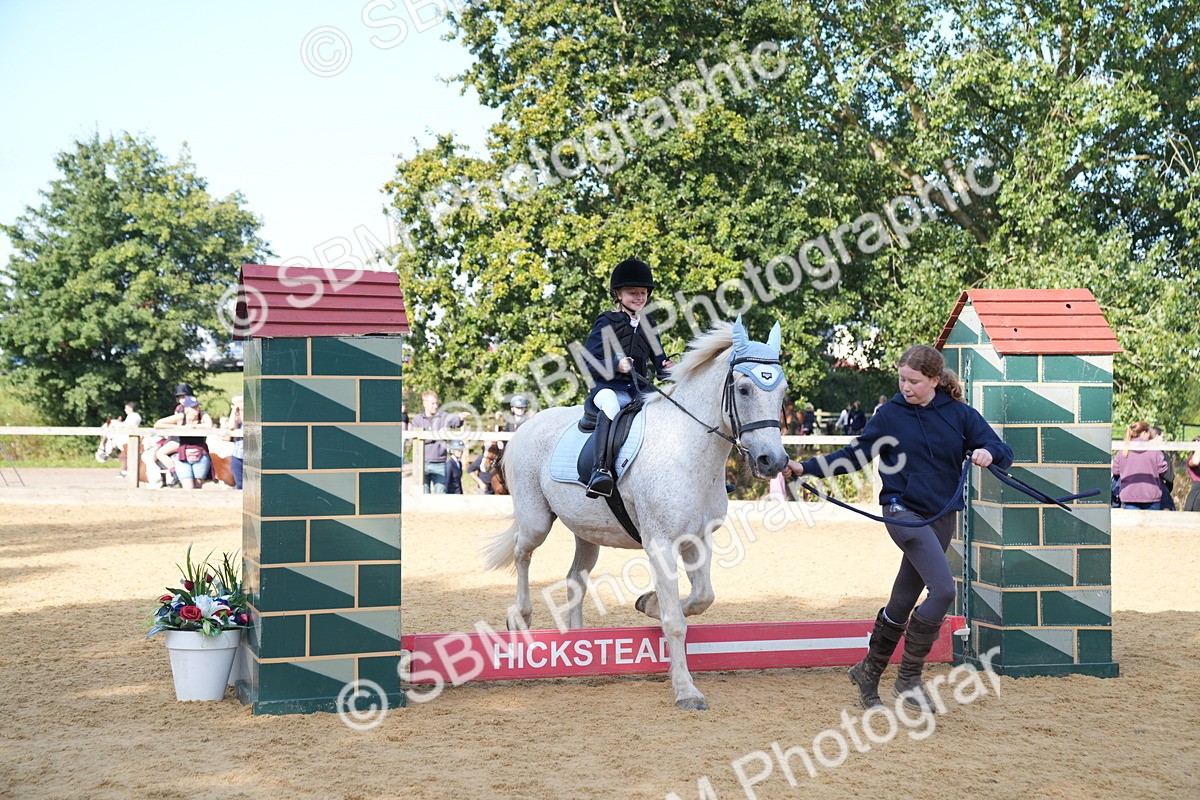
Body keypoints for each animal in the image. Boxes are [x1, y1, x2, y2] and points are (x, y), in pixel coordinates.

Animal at [484, 318, 789, 710]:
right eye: (745, 389)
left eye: (781, 391)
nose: (773, 461)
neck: (686, 447)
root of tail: (528, 425)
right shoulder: (660, 543)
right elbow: (676, 621)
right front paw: (686, 691)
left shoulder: (698, 539)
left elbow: (702, 597)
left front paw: (648, 603)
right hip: (536, 520)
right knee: (523, 553)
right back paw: (519, 618)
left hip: (587, 532)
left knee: (575, 578)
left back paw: (579, 646)